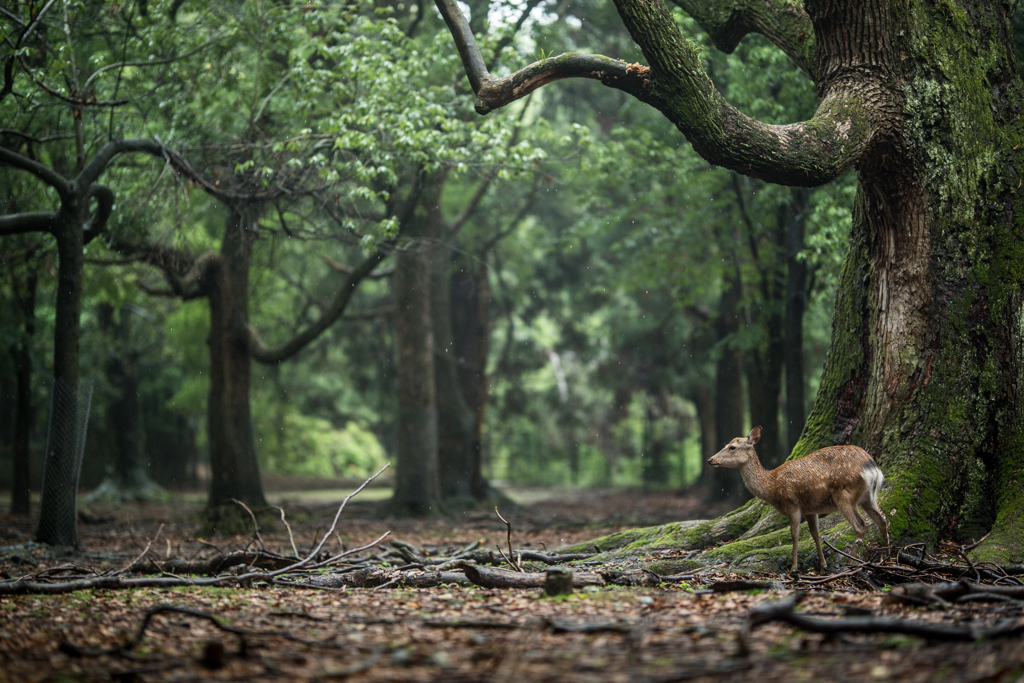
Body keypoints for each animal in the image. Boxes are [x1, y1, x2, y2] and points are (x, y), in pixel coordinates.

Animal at [708, 428, 892, 573]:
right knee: (882, 520)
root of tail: (873, 468)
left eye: (732, 447)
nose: (710, 459)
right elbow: (815, 534)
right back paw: (888, 560)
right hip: (868, 497)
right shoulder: (811, 509)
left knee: (861, 526)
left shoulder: (792, 503)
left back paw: (849, 566)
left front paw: (794, 568)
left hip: (844, 495)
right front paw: (823, 566)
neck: (771, 485)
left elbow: (794, 534)